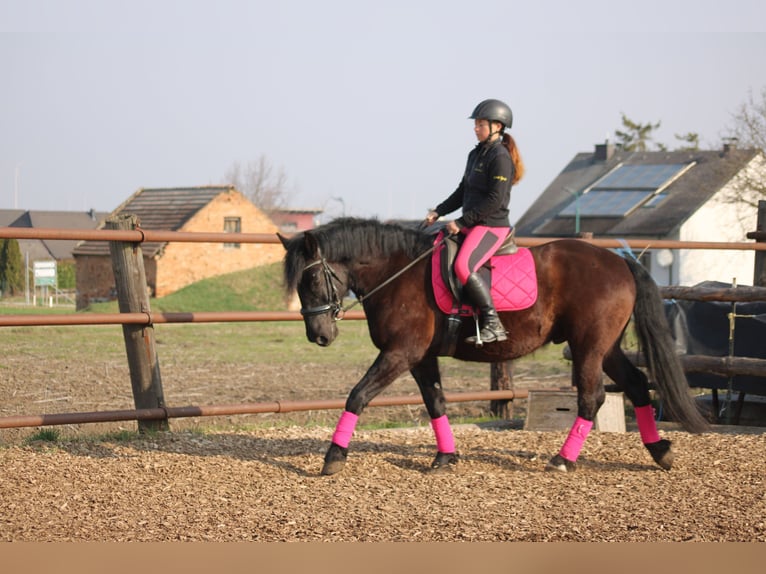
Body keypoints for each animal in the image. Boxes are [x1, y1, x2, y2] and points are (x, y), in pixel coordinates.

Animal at [279, 217, 708, 476]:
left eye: (312, 280)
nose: (319, 336)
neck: (397, 272)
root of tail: (620, 261)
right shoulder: (420, 358)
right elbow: (435, 402)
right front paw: (445, 457)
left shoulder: (400, 354)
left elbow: (357, 395)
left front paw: (333, 458)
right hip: (607, 347)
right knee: (635, 384)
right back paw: (660, 451)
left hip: (588, 346)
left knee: (592, 397)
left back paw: (562, 460)